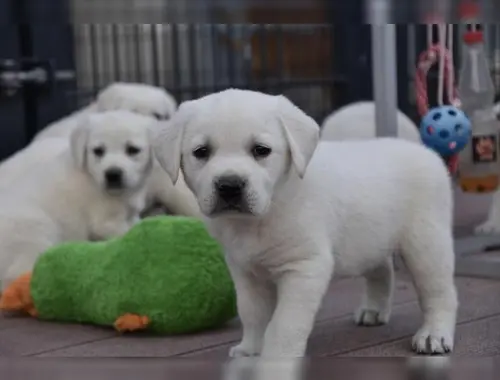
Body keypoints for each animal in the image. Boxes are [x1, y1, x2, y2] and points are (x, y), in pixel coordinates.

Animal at [0, 111, 155, 290]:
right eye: (98, 151)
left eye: (132, 150)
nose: (113, 174)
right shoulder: (105, 222)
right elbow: (127, 233)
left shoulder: (129, 214)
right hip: (37, 230)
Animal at [152, 90, 458, 358]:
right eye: (201, 152)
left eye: (261, 150)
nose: (229, 185)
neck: (265, 212)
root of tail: (425, 152)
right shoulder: (245, 270)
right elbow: (252, 313)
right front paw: (251, 350)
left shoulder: (304, 268)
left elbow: (285, 323)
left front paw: (277, 357)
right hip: (371, 238)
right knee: (381, 269)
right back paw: (374, 309)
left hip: (427, 243)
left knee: (439, 292)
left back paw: (433, 334)